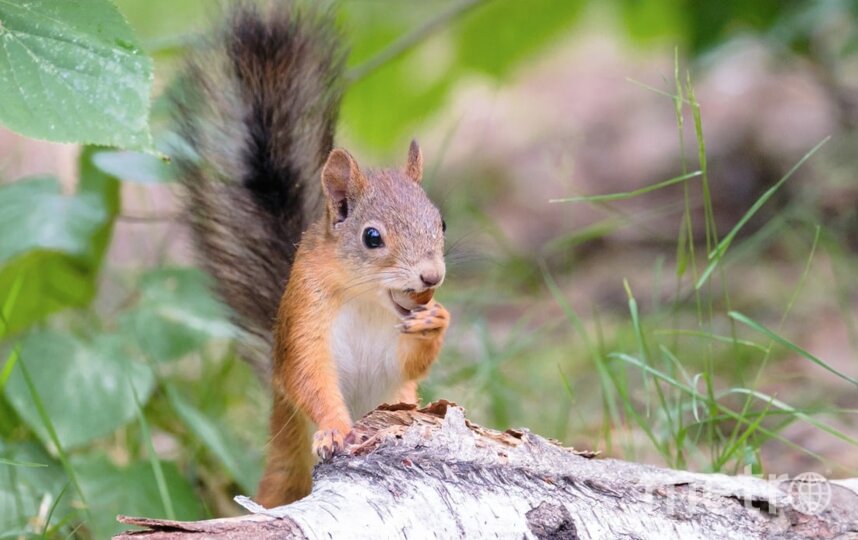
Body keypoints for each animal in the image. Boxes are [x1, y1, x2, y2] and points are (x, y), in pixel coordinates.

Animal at [168, 2, 448, 506]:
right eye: (372, 237)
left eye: (441, 223)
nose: (431, 277)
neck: (366, 301)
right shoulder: (305, 314)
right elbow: (308, 375)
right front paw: (335, 428)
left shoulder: (392, 364)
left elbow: (405, 366)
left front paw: (437, 320)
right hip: (284, 460)